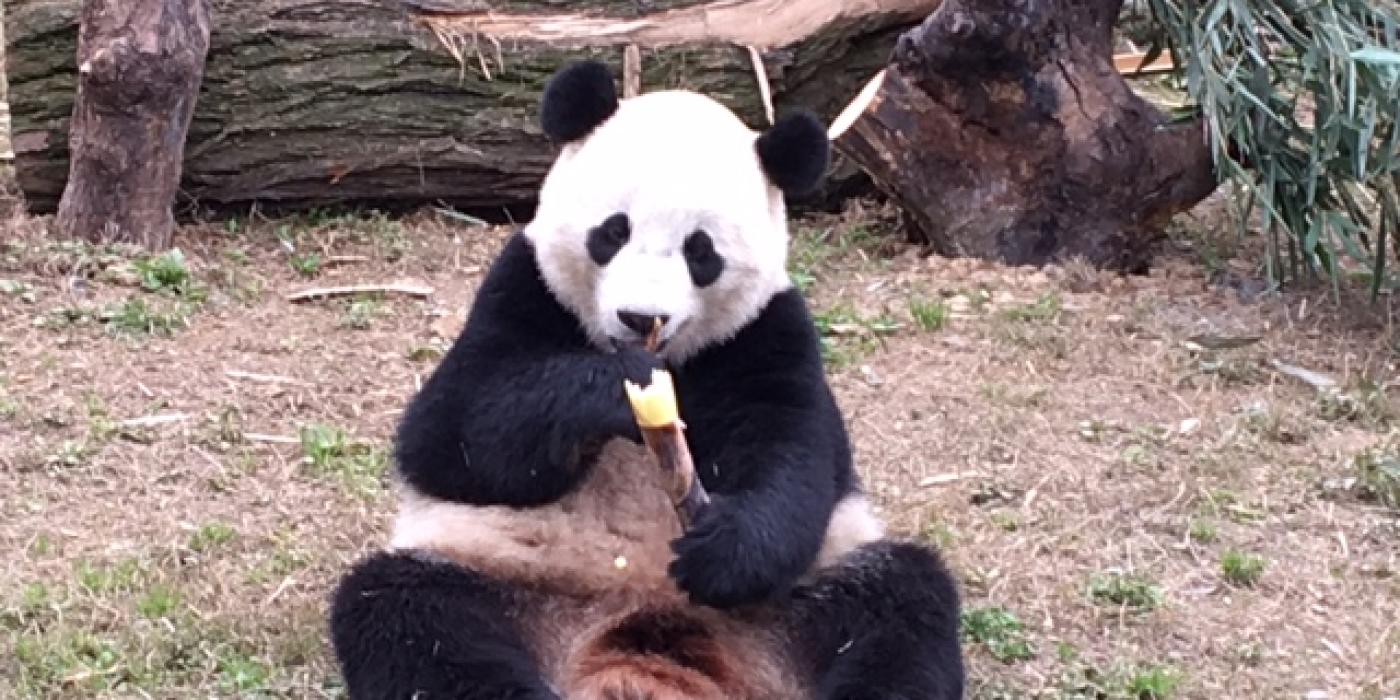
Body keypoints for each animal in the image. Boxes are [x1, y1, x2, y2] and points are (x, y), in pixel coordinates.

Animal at [330, 61, 963, 700]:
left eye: (700, 252)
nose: (640, 317)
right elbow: (453, 435)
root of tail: (638, 631)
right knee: (409, 614)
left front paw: (724, 549)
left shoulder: (766, 333)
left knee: (901, 607)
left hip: (807, 595)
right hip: (496, 574)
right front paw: (614, 389)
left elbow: (795, 458)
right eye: (613, 232)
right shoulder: (522, 289)